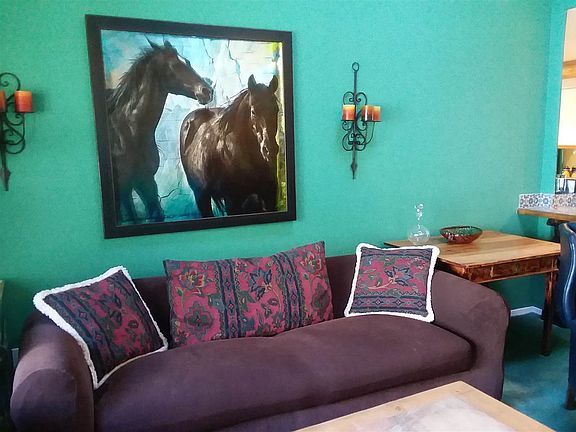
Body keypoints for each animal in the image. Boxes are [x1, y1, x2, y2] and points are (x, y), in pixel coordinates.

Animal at [107, 40, 213, 224]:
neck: (128, 131)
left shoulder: (146, 182)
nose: (207, 91)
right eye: (174, 65)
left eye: (187, 62)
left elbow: (155, 213)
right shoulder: (123, 188)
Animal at [180, 75, 280, 218]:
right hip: (201, 196)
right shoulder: (232, 202)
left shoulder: (269, 197)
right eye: (253, 112)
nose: (269, 149)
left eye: (276, 109)